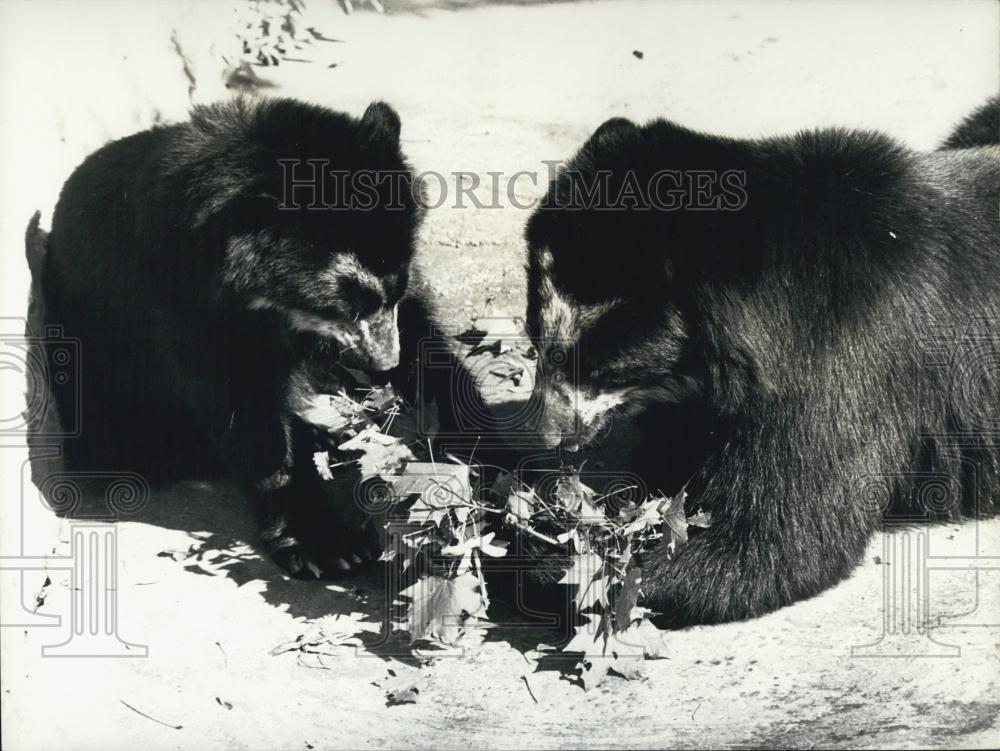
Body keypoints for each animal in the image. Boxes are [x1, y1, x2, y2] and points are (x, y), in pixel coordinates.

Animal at [37, 94, 422, 576]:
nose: (385, 362)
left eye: (397, 290)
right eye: (348, 305)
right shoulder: (183, 308)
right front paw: (328, 546)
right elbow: (244, 408)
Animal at [524, 101, 1000, 628]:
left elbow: (775, 536)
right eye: (535, 342)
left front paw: (559, 561)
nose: (546, 435)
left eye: (598, 367)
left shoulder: (842, 359)